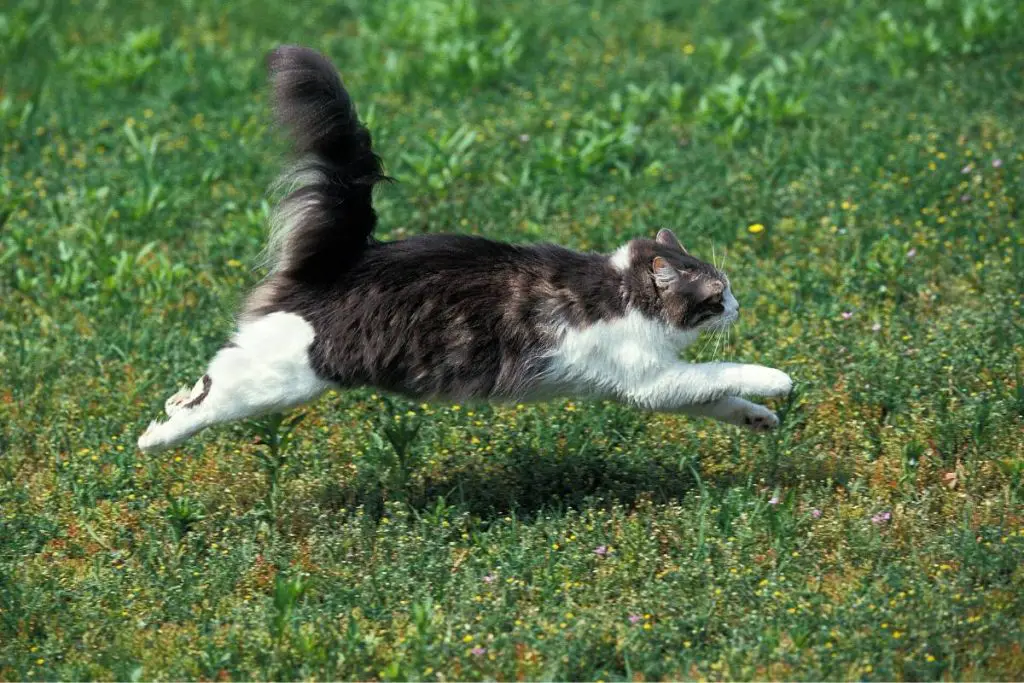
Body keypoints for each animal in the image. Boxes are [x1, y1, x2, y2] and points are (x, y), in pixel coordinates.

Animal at [136, 46, 790, 454]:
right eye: (718, 295)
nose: (739, 306)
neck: (623, 290)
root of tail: (339, 262)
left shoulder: (653, 387)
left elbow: (716, 396)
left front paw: (759, 417)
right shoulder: (649, 377)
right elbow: (724, 372)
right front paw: (779, 381)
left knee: (203, 381)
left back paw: (166, 410)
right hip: (284, 378)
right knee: (212, 394)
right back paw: (154, 438)